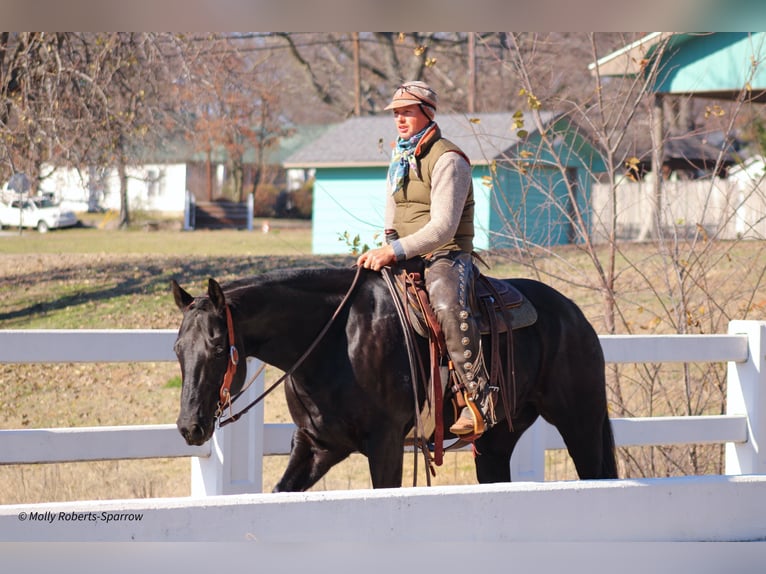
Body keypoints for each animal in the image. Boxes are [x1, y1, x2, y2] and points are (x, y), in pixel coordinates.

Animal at [172, 268, 616, 492]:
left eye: (217, 346)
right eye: (177, 349)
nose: (190, 426)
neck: (333, 340)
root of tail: (574, 314)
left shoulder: (385, 443)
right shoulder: (317, 445)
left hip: (581, 422)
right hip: (495, 441)